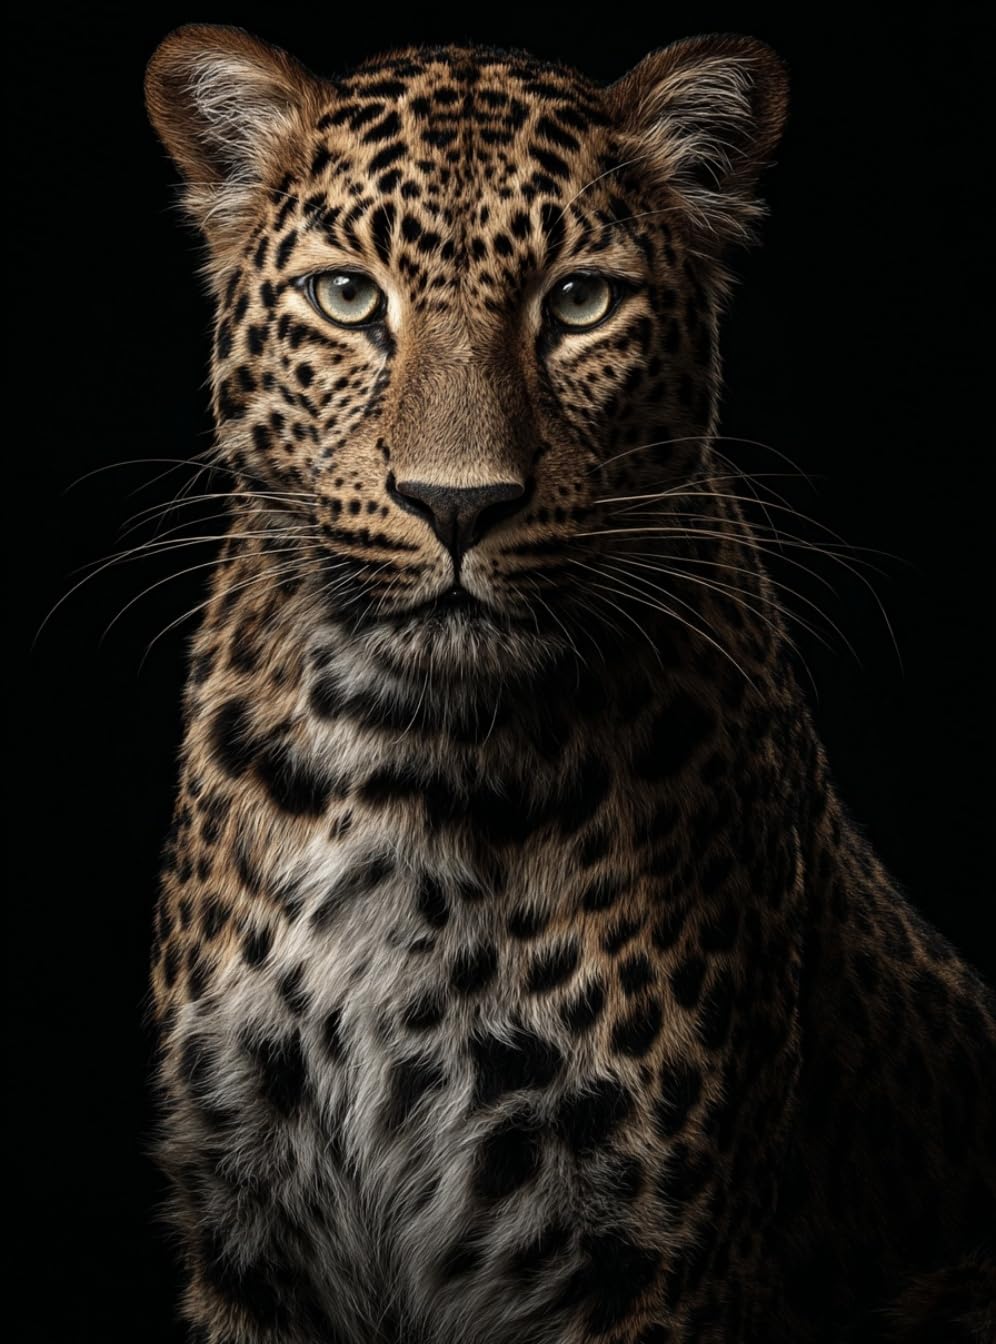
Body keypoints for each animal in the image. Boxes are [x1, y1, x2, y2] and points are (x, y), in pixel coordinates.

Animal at [144, 24, 996, 1344]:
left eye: (580, 302)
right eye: (349, 298)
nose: (456, 505)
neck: (410, 763)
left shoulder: (646, 1252)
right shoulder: (247, 1216)